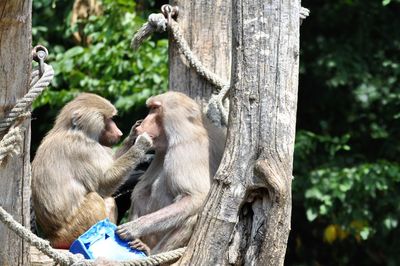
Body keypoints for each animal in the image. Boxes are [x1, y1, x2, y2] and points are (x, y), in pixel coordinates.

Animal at [31, 92, 152, 248]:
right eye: (107, 120)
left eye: (111, 119)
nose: (118, 132)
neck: (75, 131)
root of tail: (52, 238)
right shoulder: (84, 150)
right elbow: (104, 184)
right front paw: (141, 144)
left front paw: (133, 136)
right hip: (71, 231)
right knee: (95, 198)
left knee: (108, 201)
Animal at [117, 91, 227, 254]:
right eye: (151, 108)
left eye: (155, 109)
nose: (141, 125)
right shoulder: (160, 152)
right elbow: (138, 190)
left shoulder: (183, 149)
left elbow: (195, 197)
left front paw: (134, 228)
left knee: (191, 215)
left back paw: (148, 251)